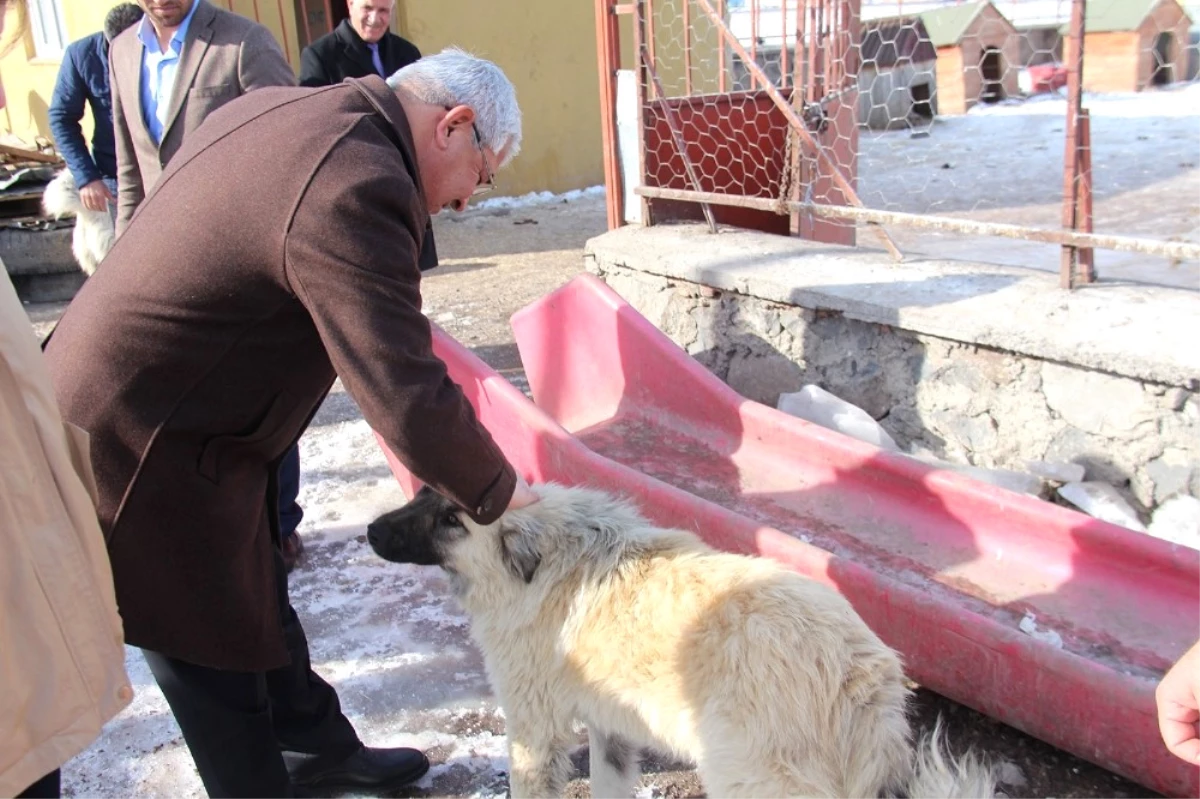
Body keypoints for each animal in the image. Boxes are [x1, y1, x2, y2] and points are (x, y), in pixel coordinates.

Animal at [364, 482, 993, 791]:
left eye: (453, 519)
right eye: (422, 492)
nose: (369, 530)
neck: (548, 558)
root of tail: (859, 672)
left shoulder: (533, 730)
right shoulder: (613, 729)